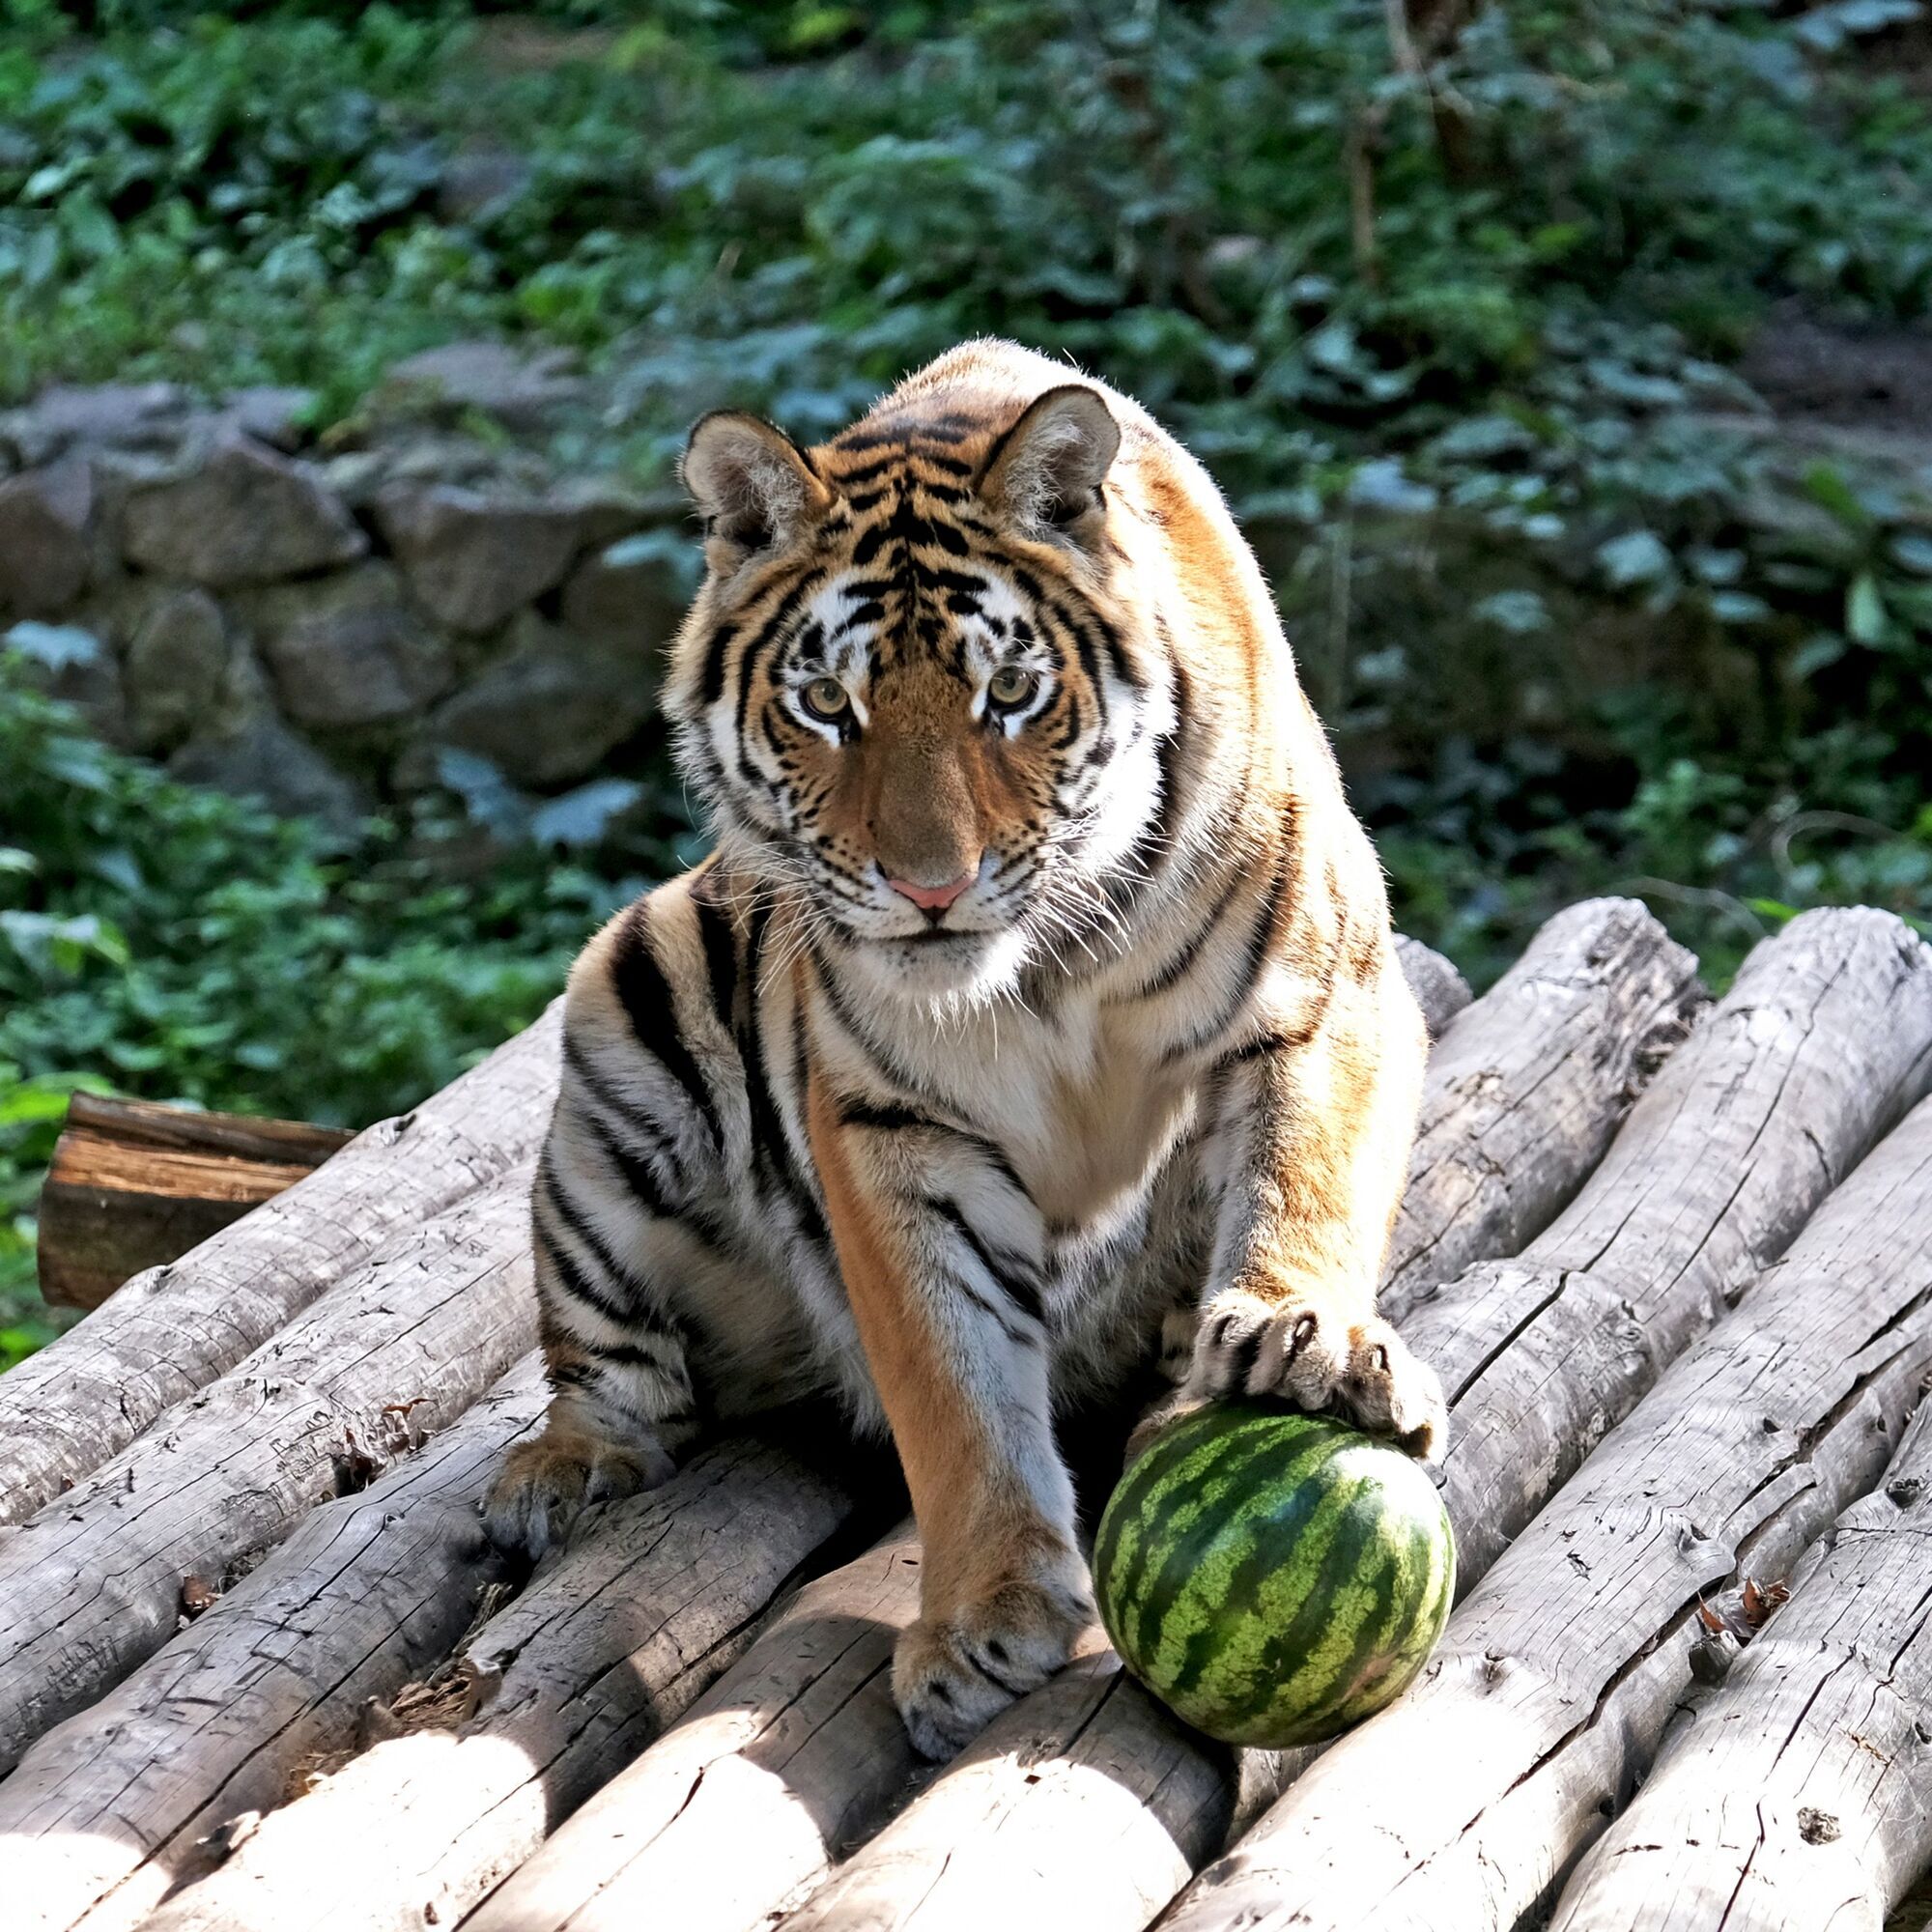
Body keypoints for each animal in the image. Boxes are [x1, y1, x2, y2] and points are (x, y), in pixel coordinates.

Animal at [487, 340, 1453, 1762]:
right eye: (825, 704)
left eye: (1009, 694)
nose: (929, 888)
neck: (1046, 965)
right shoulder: (890, 1125)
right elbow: (953, 1387)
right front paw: (980, 1619)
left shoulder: (1325, 990)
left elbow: (1306, 1183)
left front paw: (1304, 1340)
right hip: (631, 994)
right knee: (616, 1368)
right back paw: (562, 1476)